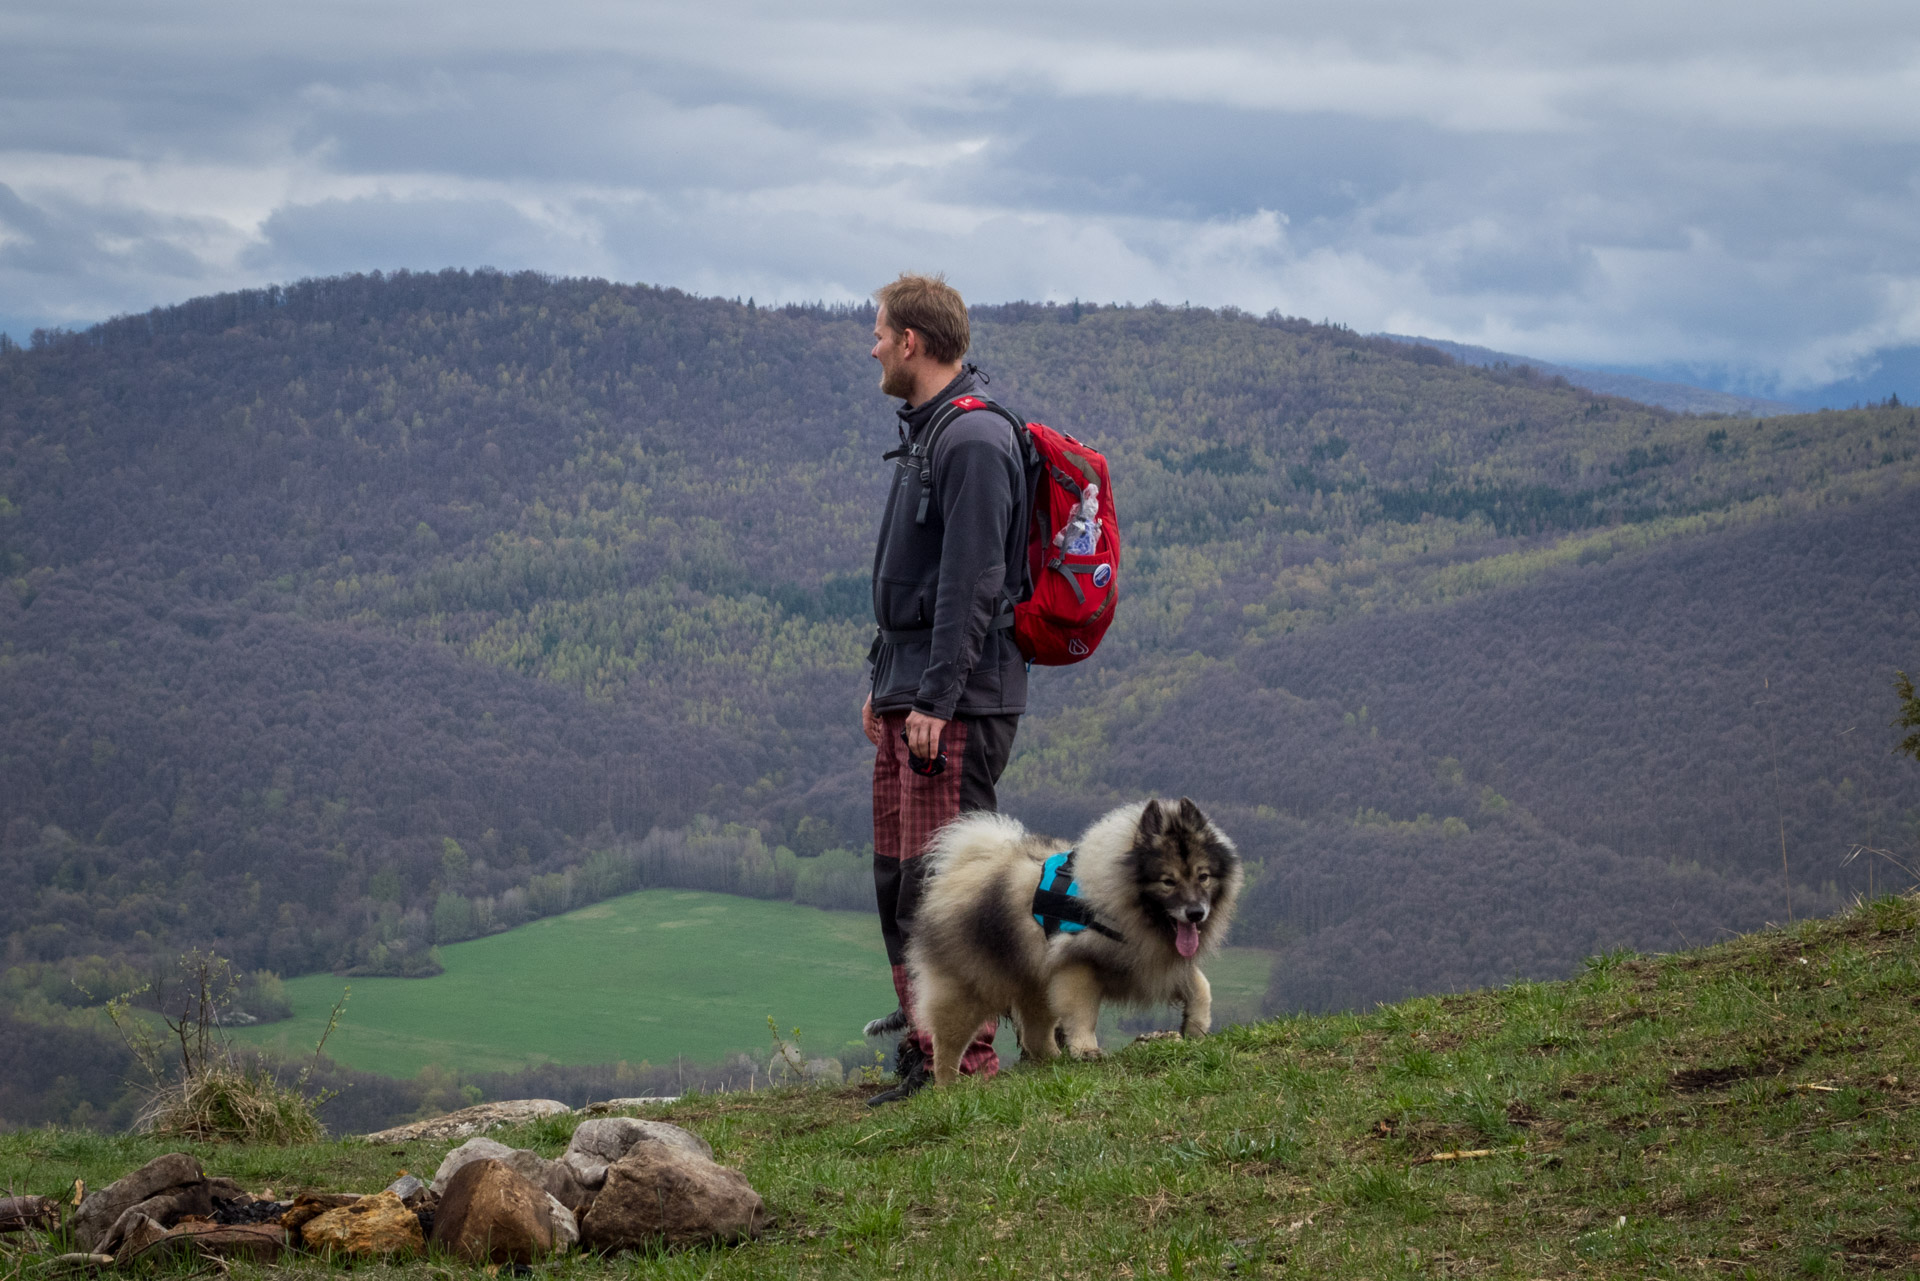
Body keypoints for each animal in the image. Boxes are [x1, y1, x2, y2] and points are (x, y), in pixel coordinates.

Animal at [902, 795, 1236, 1090]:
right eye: (1168, 881)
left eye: (1203, 876)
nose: (1196, 913)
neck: (1120, 900)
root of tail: (962, 868)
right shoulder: (1078, 966)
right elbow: (1082, 1012)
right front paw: (1087, 1050)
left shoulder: (1152, 960)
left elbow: (1200, 985)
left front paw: (1195, 1026)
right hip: (969, 988)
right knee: (948, 1042)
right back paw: (948, 1087)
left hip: (1033, 982)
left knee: (1035, 1035)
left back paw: (1054, 1062)